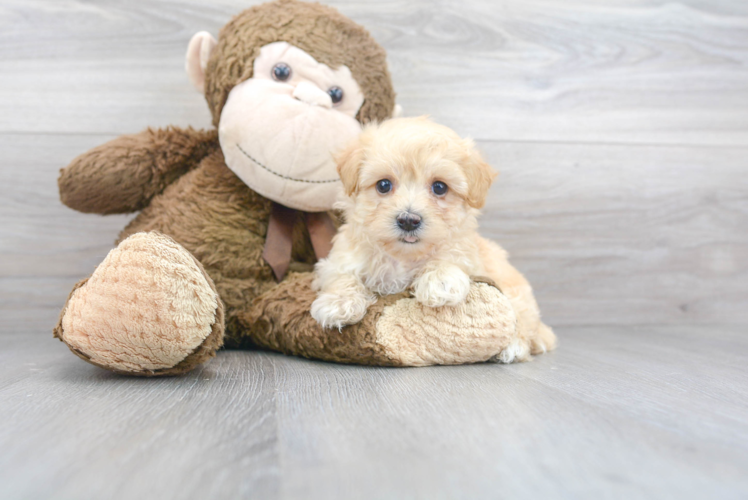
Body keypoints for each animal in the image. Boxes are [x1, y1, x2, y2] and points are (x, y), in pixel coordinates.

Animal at [310, 115, 556, 362]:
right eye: (383, 185)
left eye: (439, 187)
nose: (408, 220)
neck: (403, 257)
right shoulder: (339, 259)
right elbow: (342, 276)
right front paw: (338, 303)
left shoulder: (467, 255)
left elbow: (450, 258)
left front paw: (440, 281)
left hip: (518, 296)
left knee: (522, 324)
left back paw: (513, 347)